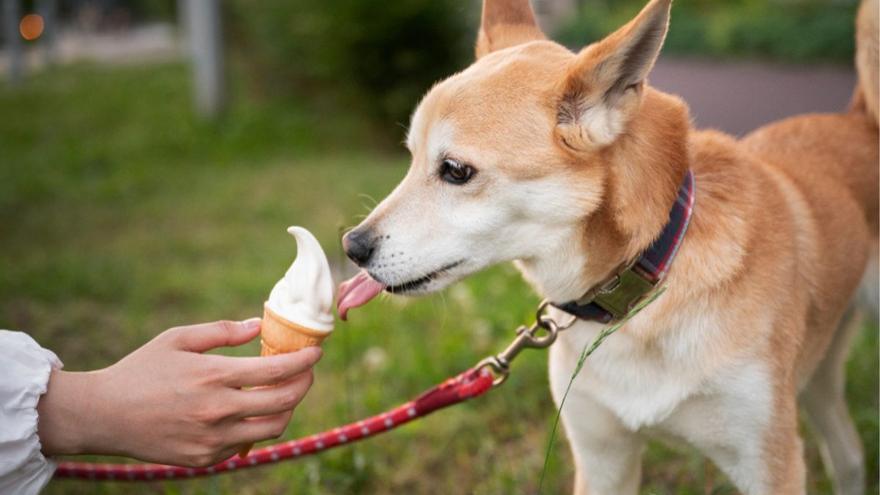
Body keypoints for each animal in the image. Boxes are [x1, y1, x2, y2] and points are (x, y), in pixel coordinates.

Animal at [336, 1, 880, 494]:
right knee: (849, 455)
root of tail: (858, 118)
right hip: (817, 375)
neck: (647, 280)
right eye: (411, 158)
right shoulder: (601, 459)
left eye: (454, 170)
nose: (352, 247)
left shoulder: (767, 463)